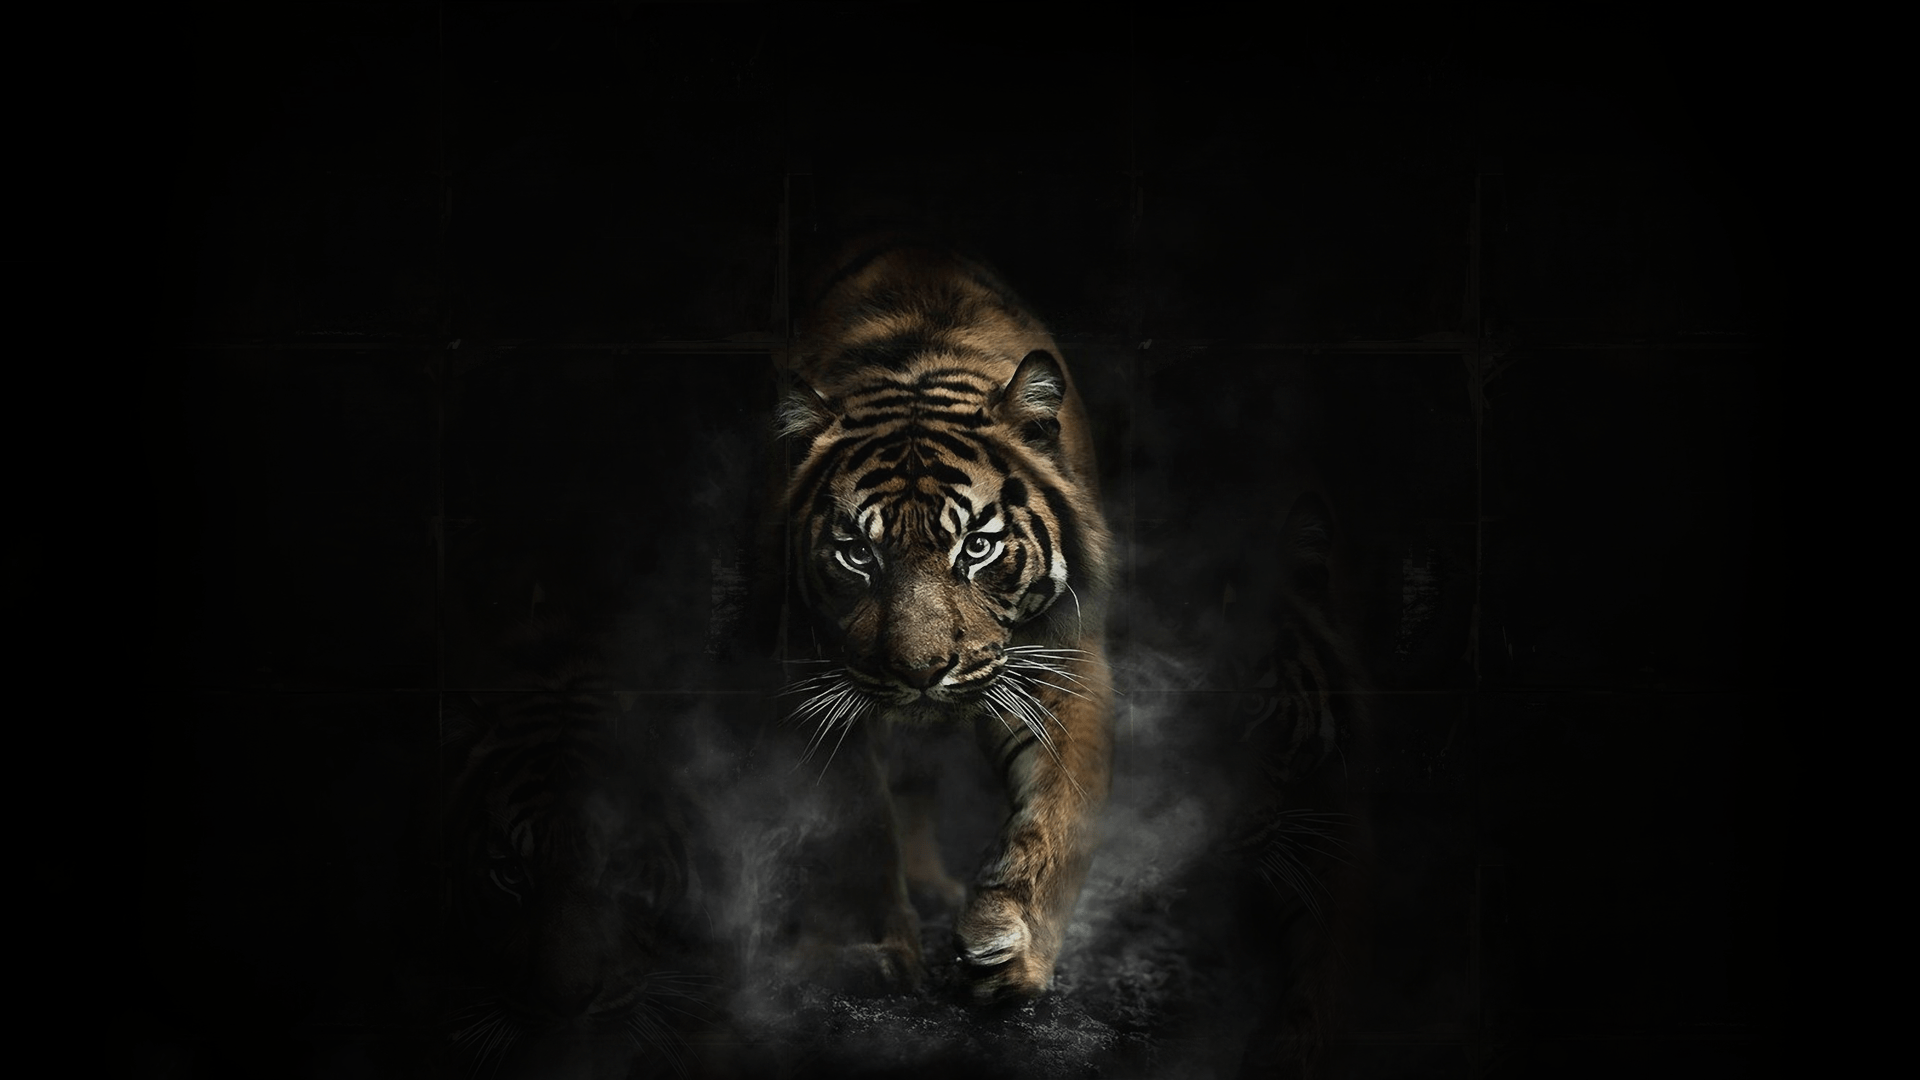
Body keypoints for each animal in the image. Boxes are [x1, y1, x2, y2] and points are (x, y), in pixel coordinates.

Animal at [760, 237, 1117, 1003]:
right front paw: (876, 951)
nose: (922, 671)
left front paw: (1011, 946)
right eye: (857, 553)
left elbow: (1058, 814)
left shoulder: (1065, 662)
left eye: (976, 546)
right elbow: (859, 821)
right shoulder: (810, 680)